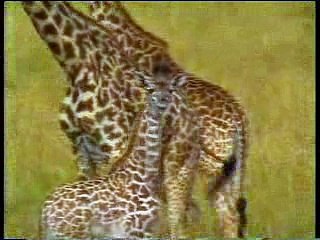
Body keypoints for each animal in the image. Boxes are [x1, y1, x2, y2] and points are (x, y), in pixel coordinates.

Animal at [39, 62, 199, 239]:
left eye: (171, 89)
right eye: (149, 89)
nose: (163, 101)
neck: (144, 176)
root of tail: (46, 210)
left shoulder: (146, 230)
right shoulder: (135, 231)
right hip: (73, 234)